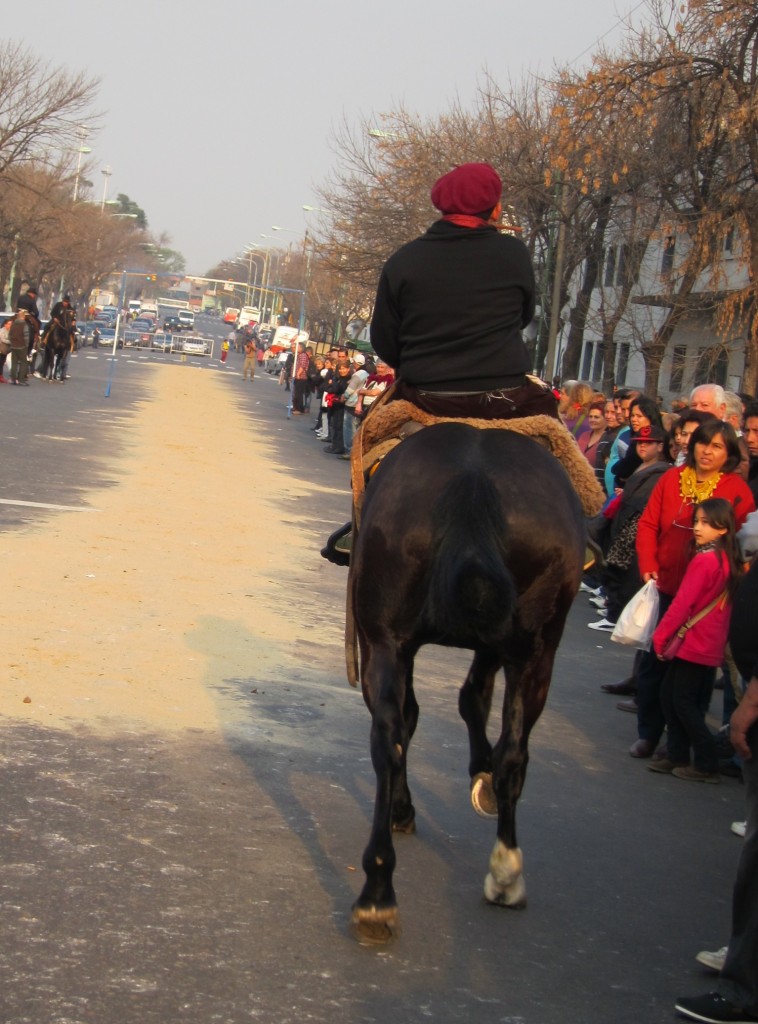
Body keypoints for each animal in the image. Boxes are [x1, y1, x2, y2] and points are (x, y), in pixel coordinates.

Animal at [346, 421, 581, 942]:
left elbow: (438, 708)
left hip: (383, 641)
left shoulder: (398, 643)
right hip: (535, 651)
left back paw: (379, 891)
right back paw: (503, 872)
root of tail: (473, 480)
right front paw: (482, 774)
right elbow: (471, 699)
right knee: (512, 753)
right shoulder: (497, 644)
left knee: (389, 740)